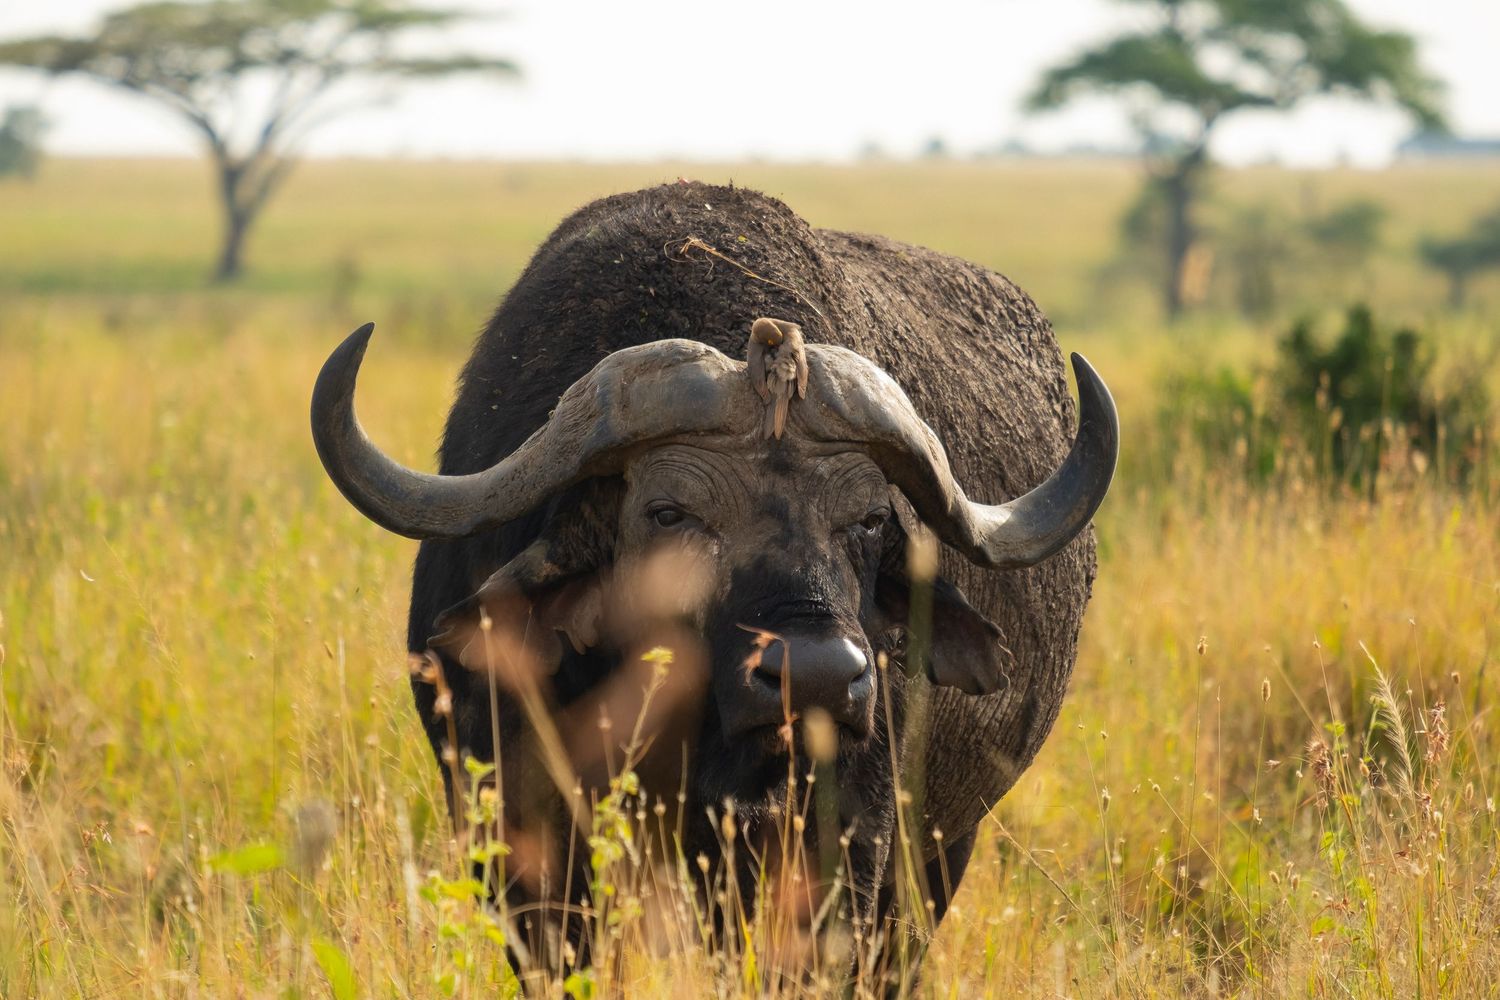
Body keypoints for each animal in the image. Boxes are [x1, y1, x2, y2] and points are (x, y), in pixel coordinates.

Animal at [310, 181, 1116, 986]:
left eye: (870, 521)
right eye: (671, 514)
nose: (817, 678)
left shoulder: (848, 843)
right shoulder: (519, 835)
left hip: (944, 849)